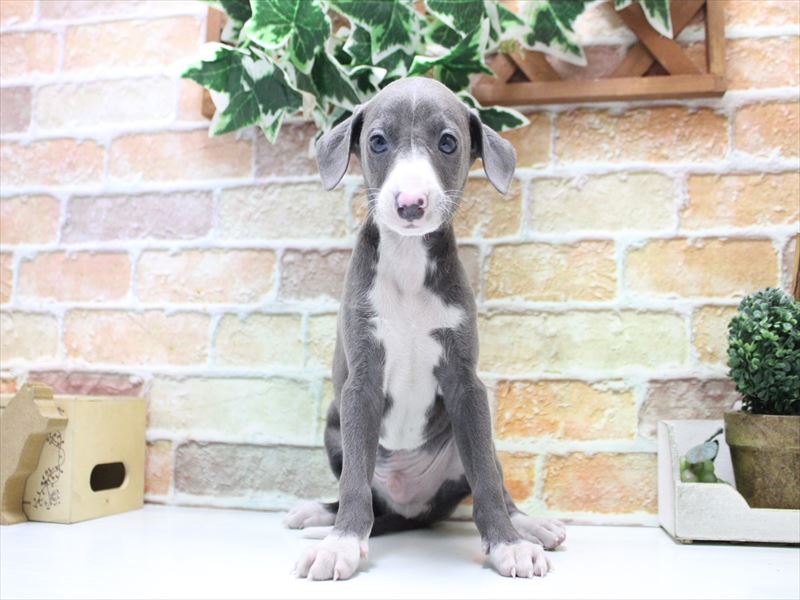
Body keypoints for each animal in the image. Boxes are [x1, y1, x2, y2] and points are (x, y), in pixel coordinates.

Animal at [284, 77, 566, 580]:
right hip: (334, 427)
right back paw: (320, 515)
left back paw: (530, 526)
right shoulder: (361, 381)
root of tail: (411, 509)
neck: (409, 260)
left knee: (492, 477)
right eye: (377, 141)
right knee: (360, 489)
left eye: (448, 142)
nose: (410, 204)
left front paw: (509, 545)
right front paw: (340, 544)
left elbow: (487, 481)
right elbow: (355, 481)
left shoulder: (465, 384)